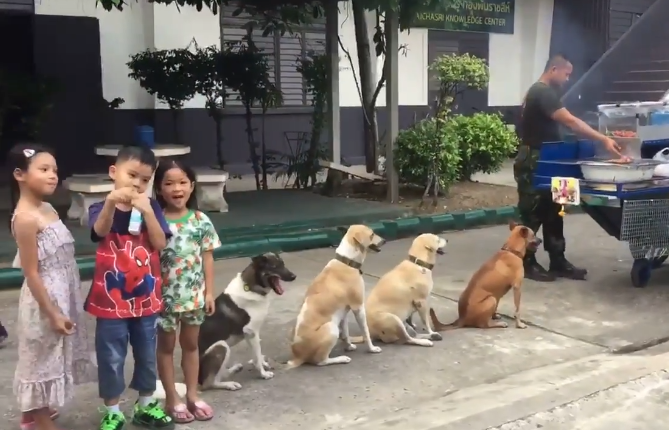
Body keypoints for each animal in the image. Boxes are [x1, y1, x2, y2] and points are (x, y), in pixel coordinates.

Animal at [194, 252, 296, 390]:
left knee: (220, 374)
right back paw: (229, 384)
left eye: (283, 264)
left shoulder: (251, 334)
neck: (252, 287)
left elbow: (257, 355)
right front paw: (263, 374)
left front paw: (263, 364)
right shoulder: (251, 332)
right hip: (221, 345)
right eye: (275, 267)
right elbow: (257, 356)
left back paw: (234, 369)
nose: (294, 276)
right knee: (210, 382)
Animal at [288, 223, 386, 368]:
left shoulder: (344, 312)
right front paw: (372, 349)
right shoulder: (358, 308)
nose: (384, 240)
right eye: (372, 234)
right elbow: (366, 332)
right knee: (321, 361)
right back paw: (341, 359)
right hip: (331, 328)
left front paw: (349, 346)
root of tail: (297, 356)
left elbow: (345, 333)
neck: (347, 262)